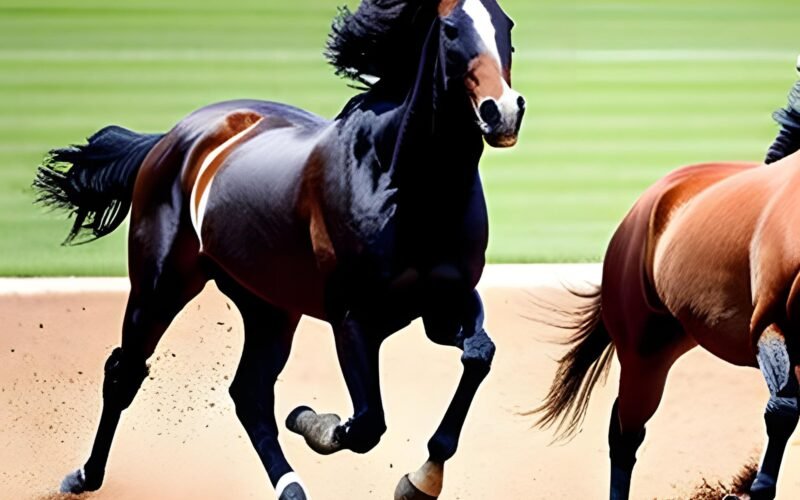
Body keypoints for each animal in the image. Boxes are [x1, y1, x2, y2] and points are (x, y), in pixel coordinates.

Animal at [33, 1, 524, 498]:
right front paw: (315, 423)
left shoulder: (445, 304)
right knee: (125, 373)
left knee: (248, 393)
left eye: (507, 26)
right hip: (160, 286)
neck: (405, 183)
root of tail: (172, 137)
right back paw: (84, 475)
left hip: (268, 306)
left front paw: (424, 476)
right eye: (450, 30)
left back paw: (290, 486)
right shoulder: (353, 319)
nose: (502, 111)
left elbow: (478, 357)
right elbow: (366, 425)